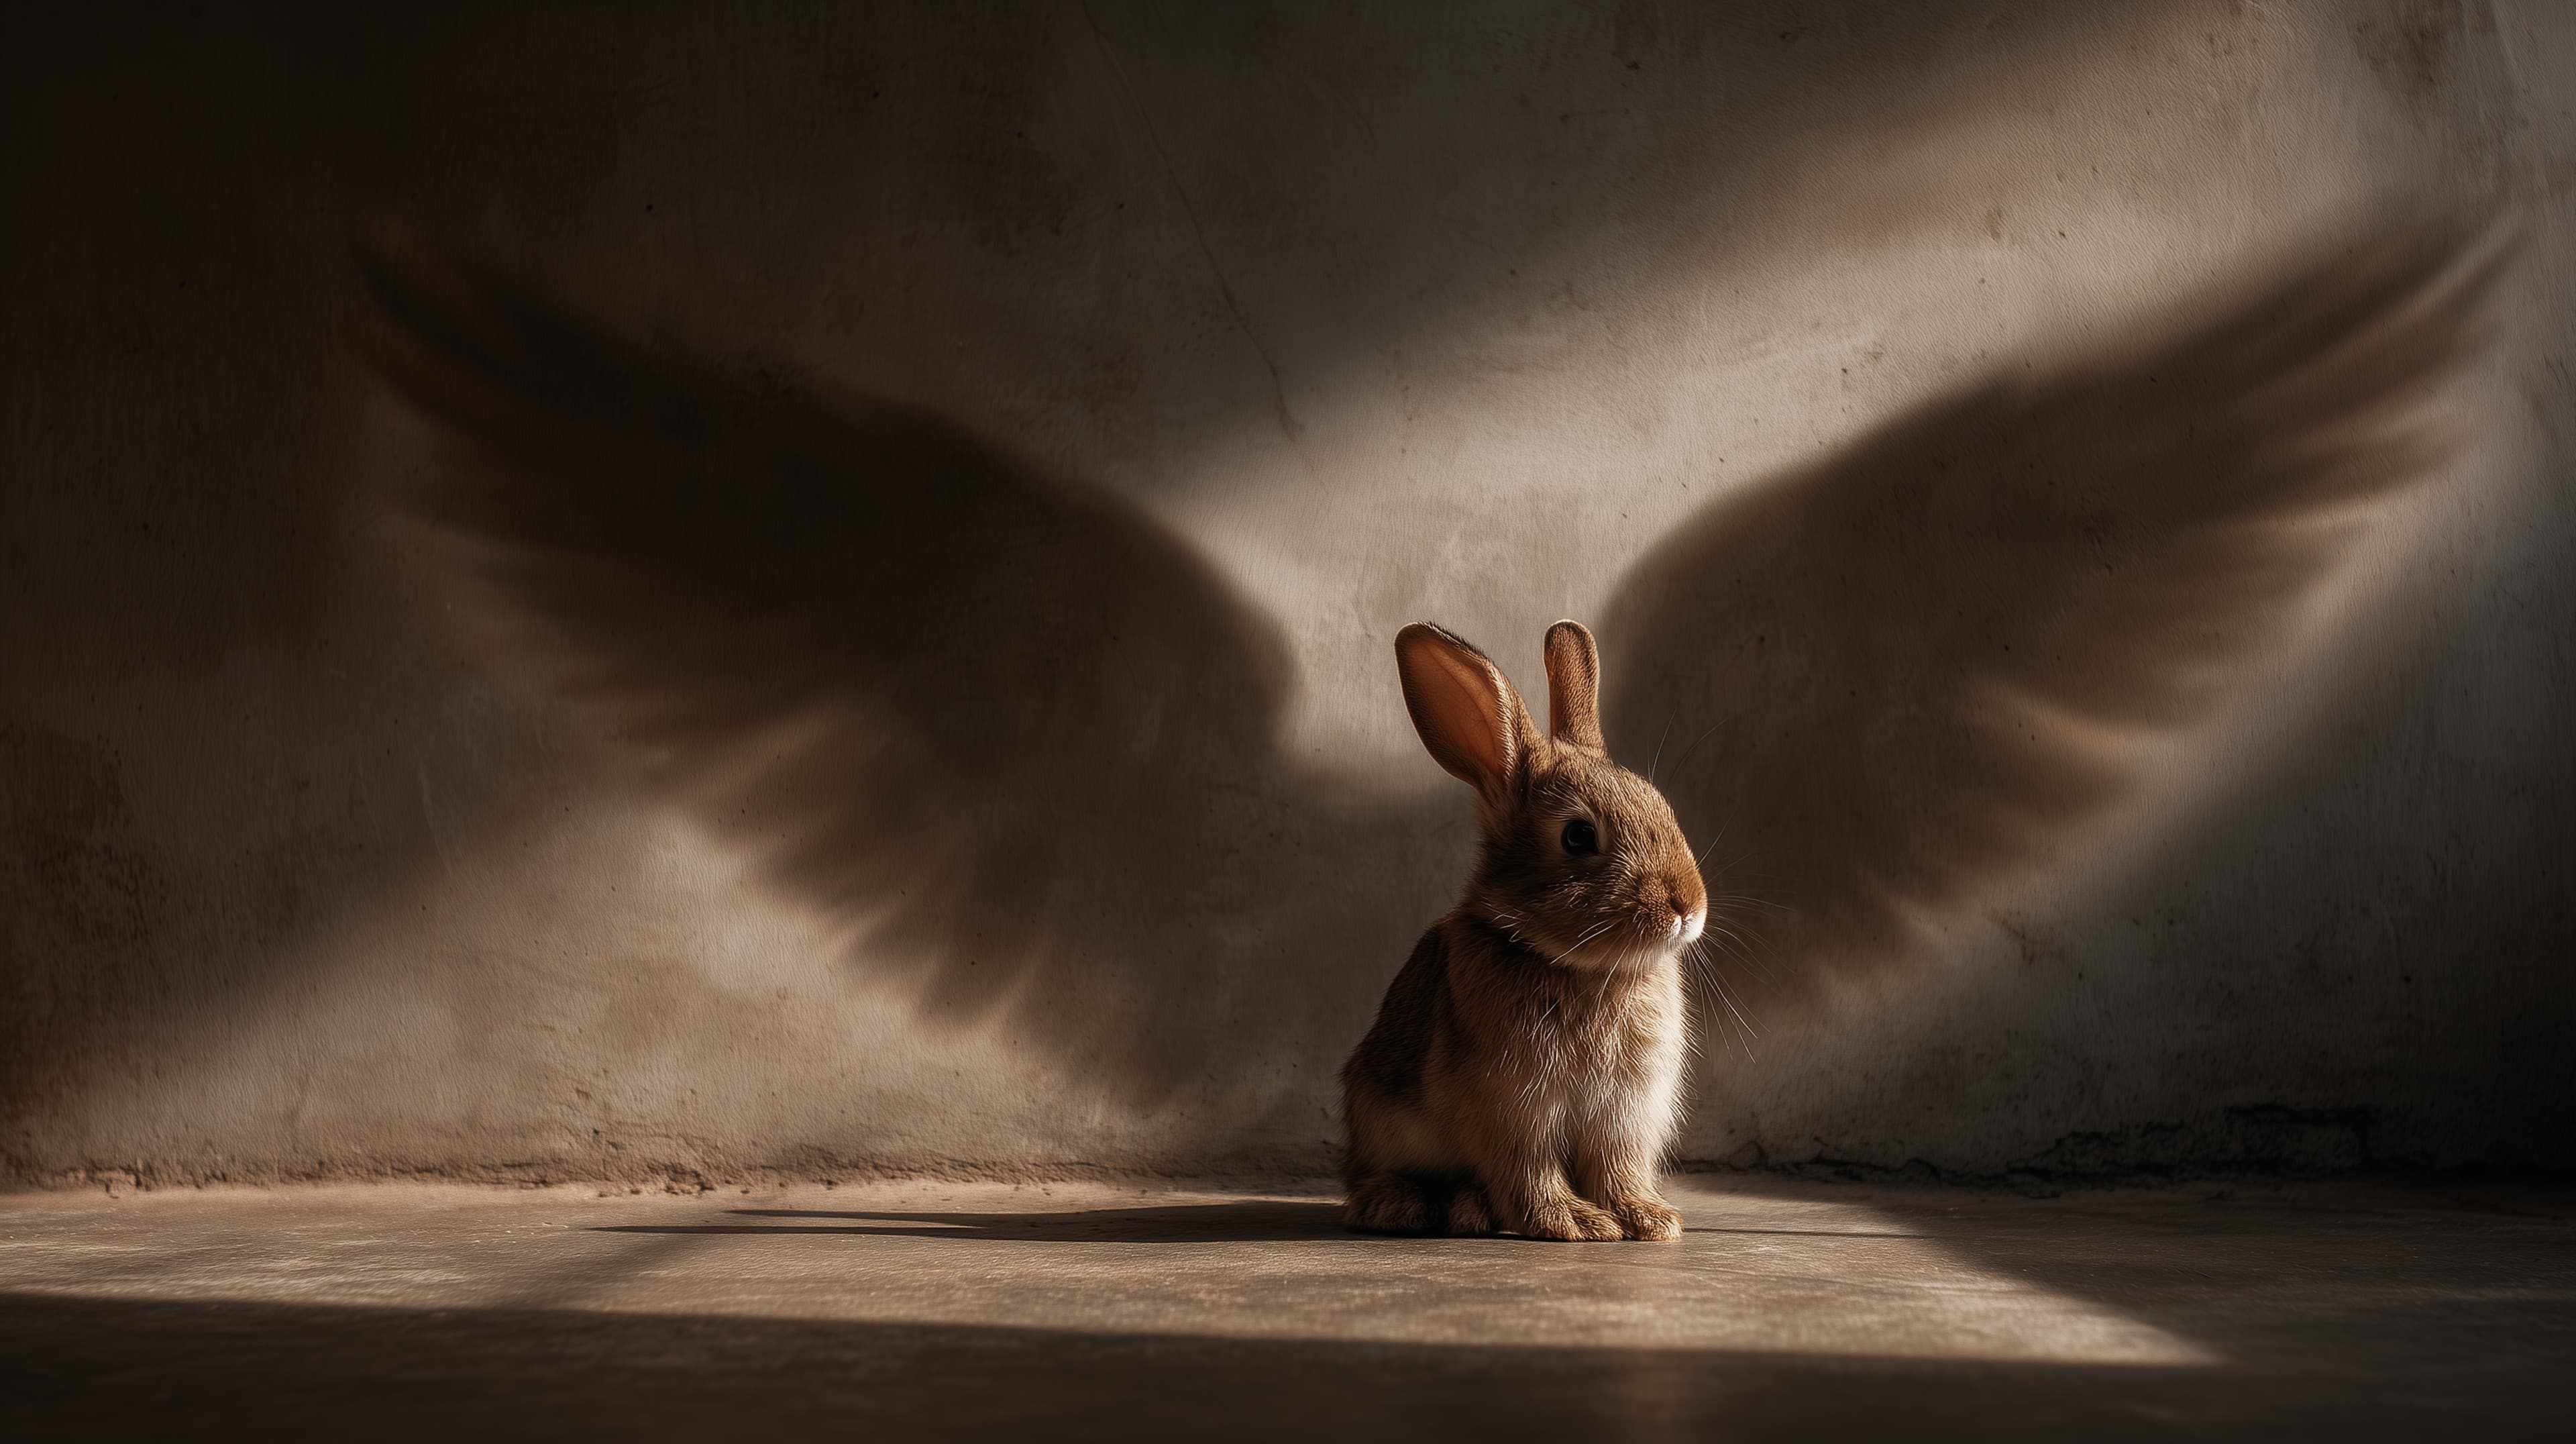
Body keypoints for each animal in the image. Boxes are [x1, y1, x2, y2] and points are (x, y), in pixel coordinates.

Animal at [1342, 619, 1704, 1241]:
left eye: (1660, 804)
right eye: (1578, 836)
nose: (1687, 905)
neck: (1578, 967)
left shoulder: (1625, 1113)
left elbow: (1619, 1169)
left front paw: (1649, 1220)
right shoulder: (1514, 1109)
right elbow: (1528, 1171)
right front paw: (1575, 1223)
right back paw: (1406, 1206)